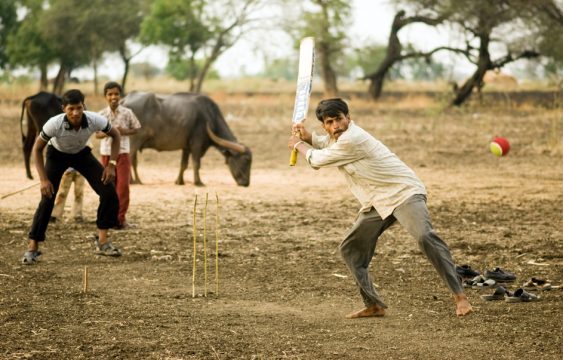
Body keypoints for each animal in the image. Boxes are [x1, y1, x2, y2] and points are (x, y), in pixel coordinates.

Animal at [122, 91, 252, 187]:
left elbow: (183, 164)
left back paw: (138, 181)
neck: (209, 116)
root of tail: (125, 100)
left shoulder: (186, 148)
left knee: (133, 160)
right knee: (130, 158)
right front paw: (198, 182)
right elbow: (196, 163)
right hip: (135, 141)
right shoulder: (196, 145)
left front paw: (179, 181)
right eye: (246, 160)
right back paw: (131, 181)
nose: (246, 183)